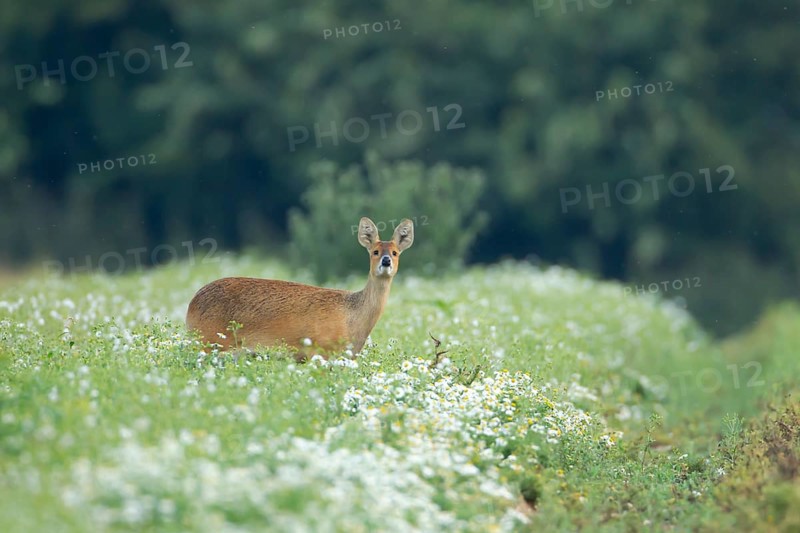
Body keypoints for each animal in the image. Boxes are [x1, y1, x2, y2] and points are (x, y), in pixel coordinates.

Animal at [185, 217, 414, 360]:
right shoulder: (319, 351)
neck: (352, 318)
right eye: (375, 251)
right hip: (209, 341)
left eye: (395, 252)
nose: (386, 261)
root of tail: (192, 303)